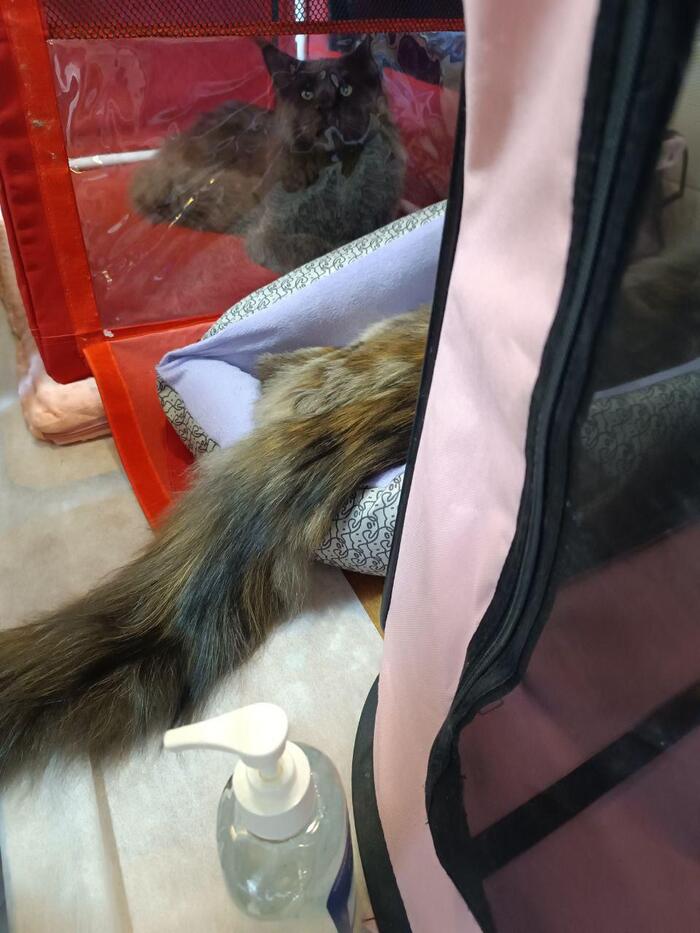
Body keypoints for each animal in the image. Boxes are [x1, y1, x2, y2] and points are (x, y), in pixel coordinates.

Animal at [130, 38, 406, 273]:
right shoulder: (267, 236)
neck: (333, 175)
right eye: (307, 94)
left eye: (346, 89)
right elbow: (320, 251)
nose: (326, 106)